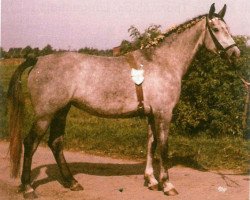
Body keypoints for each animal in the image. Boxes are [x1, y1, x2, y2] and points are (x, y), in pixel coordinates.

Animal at [7, 3, 240, 198]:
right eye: (216, 29)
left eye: (227, 28)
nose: (235, 54)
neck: (162, 62)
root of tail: (38, 60)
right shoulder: (164, 113)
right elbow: (163, 147)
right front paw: (167, 185)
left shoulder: (151, 114)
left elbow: (151, 145)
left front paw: (151, 180)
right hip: (45, 114)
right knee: (30, 143)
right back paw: (28, 187)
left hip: (61, 111)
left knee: (55, 143)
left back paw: (72, 182)